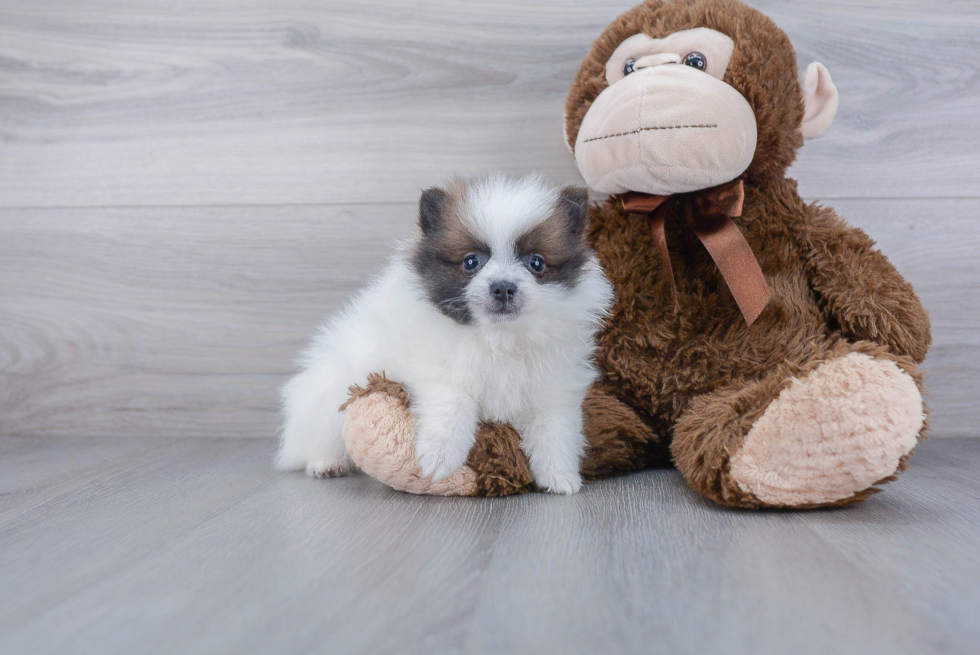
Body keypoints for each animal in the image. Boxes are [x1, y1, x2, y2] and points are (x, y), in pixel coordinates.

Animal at [276, 173, 612, 492]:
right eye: (471, 261)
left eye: (537, 263)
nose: (503, 287)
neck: (497, 338)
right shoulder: (433, 369)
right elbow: (454, 402)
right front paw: (440, 457)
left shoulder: (553, 387)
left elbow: (554, 429)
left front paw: (560, 475)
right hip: (330, 386)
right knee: (321, 434)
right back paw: (326, 463)